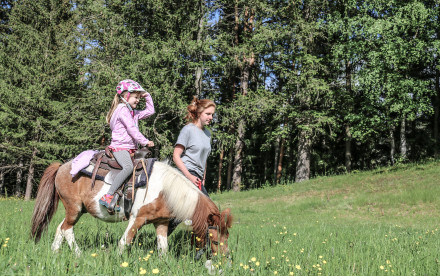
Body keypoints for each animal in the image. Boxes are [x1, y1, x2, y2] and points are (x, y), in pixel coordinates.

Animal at [30, 161, 234, 258]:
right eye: (215, 241)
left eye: (227, 238)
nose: (226, 260)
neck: (165, 190)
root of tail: (61, 167)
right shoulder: (137, 218)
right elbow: (124, 242)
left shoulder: (161, 223)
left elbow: (163, 248)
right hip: (74, 208)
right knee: (67, 229)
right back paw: (78, 254)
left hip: (76, 211)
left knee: (61, 228)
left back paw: (55, 252)